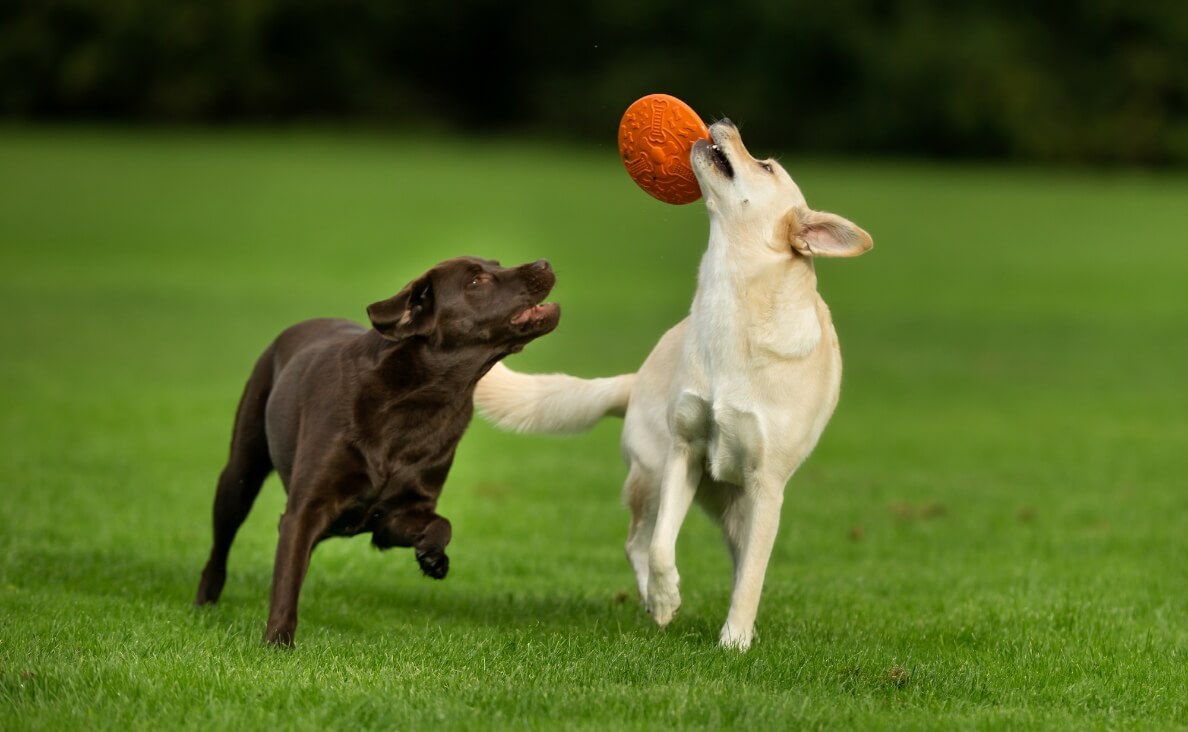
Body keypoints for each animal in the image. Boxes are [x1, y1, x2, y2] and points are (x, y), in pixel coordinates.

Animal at [194, 257, 560, 646]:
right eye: (477, 280)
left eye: (497, 264)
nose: (544, 263)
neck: (419, 399)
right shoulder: (304, 510)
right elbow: (287, 580)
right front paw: (278, 642)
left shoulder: (393, 518)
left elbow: (441, 523)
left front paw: (432, 558)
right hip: (240, 475)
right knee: (222, 546)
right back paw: (205, 602)